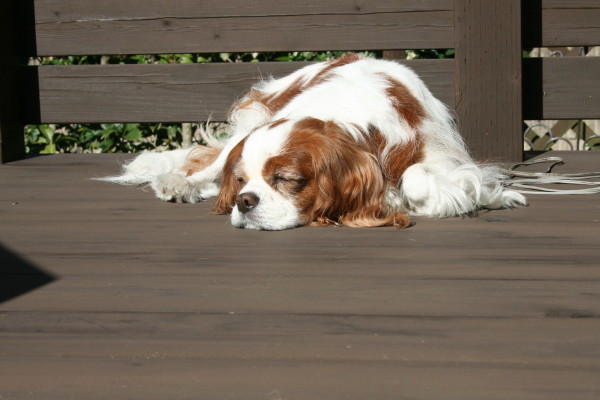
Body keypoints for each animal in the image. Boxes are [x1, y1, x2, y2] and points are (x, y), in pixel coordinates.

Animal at [105, 52, 528, 231]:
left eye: (287, 179)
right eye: (243, 181)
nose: (244, 200)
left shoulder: (437, 147)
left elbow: (420, 179)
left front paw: (485, 197)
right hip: (256, 116)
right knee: (213, 160)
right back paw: (180, 184)